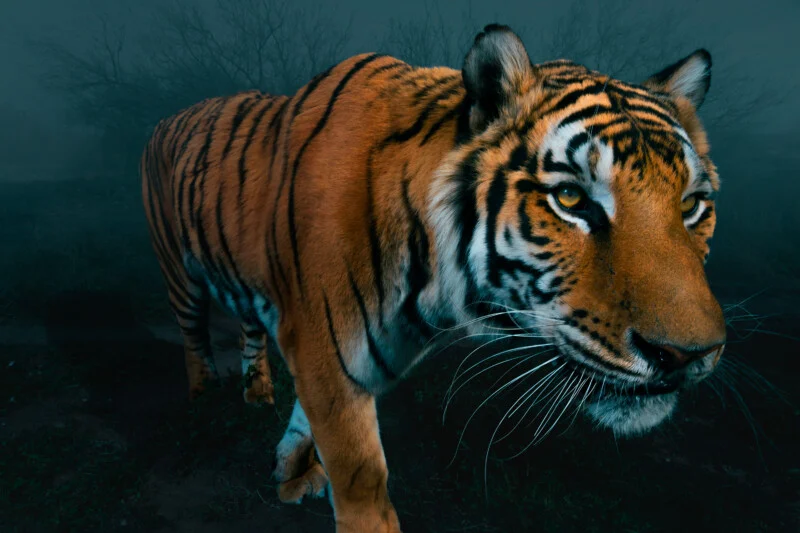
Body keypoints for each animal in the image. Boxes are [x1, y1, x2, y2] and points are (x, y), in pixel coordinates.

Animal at [141, 24, 727, 533]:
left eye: (691, 205)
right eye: (570, 198)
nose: (687, 355)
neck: (432, 292)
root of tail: (169, 117)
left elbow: (305, 420)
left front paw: (291, 471)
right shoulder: (324, 353)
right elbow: (360, 480)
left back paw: (255, 396)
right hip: (178, 272)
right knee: (192, 336)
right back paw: (204, 400)